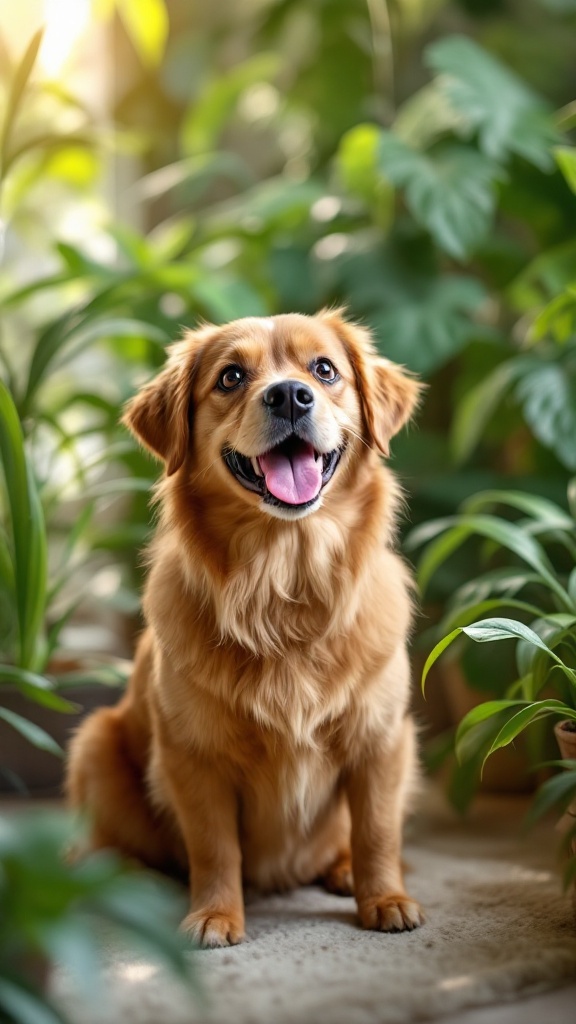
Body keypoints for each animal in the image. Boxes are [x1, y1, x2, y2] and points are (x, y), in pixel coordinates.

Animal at [68, 309, 426, 942]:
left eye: (324, 369)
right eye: (231, 377)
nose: (289, 395)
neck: (283, 582)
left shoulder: (381, 740)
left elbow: (377, 833)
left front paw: (385, 898)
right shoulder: (194, 756)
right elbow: (215, 848)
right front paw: (215, 913)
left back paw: (342, 870)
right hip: (96, 745)